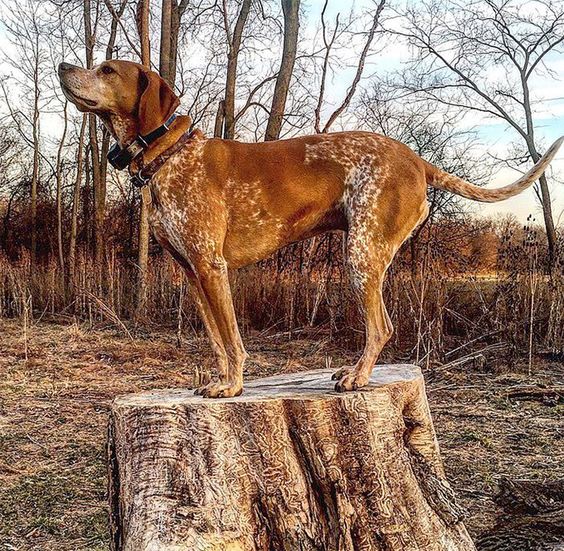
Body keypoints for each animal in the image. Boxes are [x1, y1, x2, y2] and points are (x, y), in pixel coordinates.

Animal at [58, 59, 564, 396]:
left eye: (107, 69)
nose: (64, 66)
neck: (169, 155)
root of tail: (416, 159)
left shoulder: (211, 267)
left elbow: (233, 341)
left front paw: (232, 386)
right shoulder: (192, 273)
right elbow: (218, 342)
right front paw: (220, 381)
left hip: (361, 256)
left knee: (381, 327)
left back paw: (358, 376)